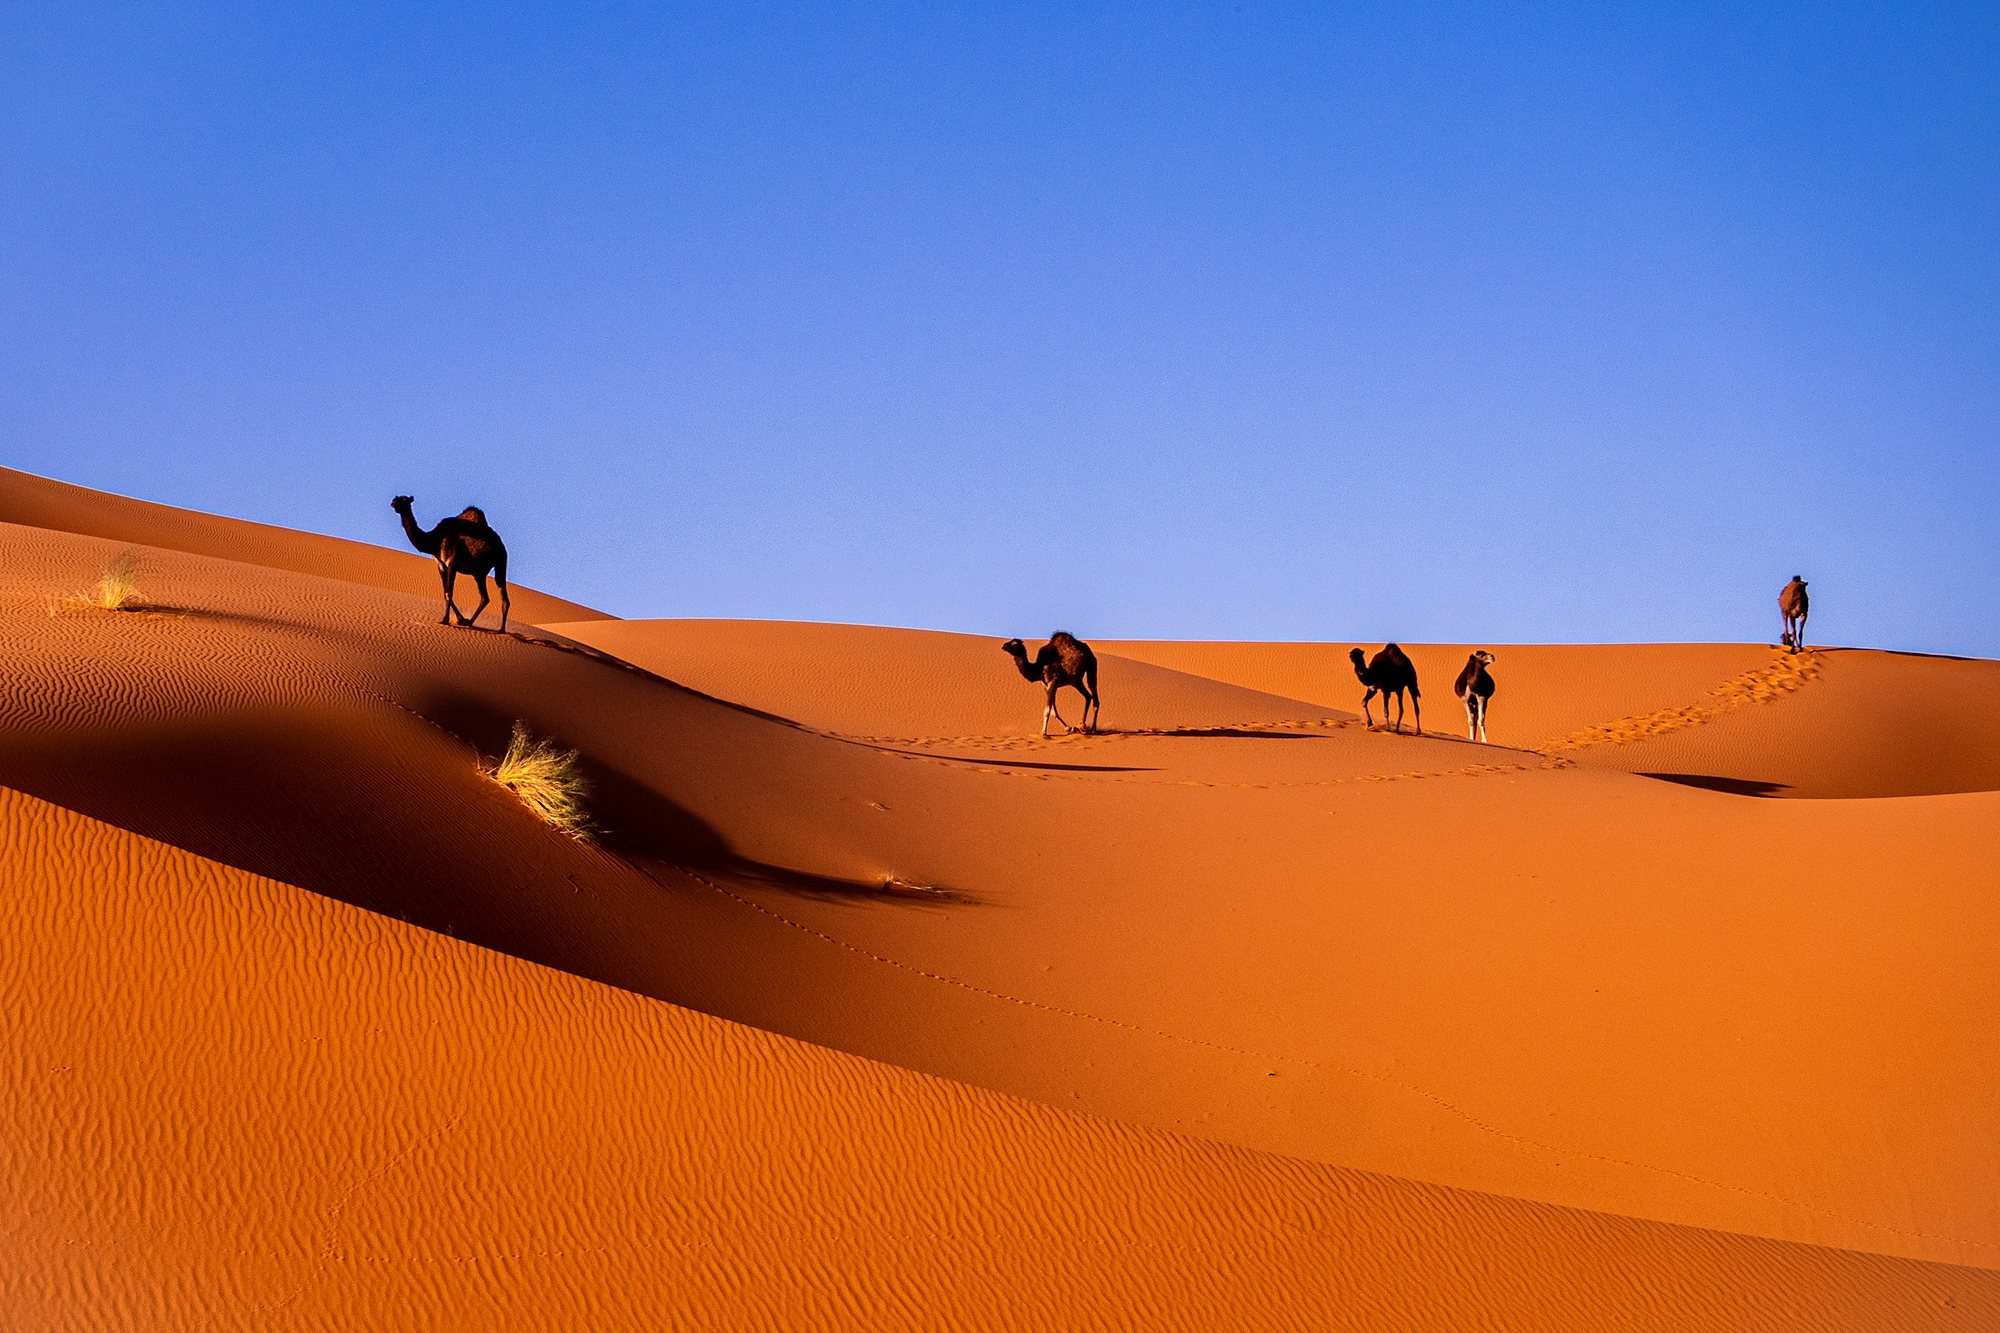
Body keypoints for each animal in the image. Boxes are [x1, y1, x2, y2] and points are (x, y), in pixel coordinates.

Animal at [391, 496, 511, 632]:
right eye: (397, 498)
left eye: (404, 500)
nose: (393, 503)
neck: (434, 541)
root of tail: (502, 546)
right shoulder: (441, 565)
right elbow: (445, 592)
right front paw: (460, 619)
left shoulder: (452, 562)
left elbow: (449, 593)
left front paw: (445, 620)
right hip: (479, 573)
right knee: (485, 597)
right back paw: (470, 622)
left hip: (500, 562)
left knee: (499, 592)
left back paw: (500, 629)